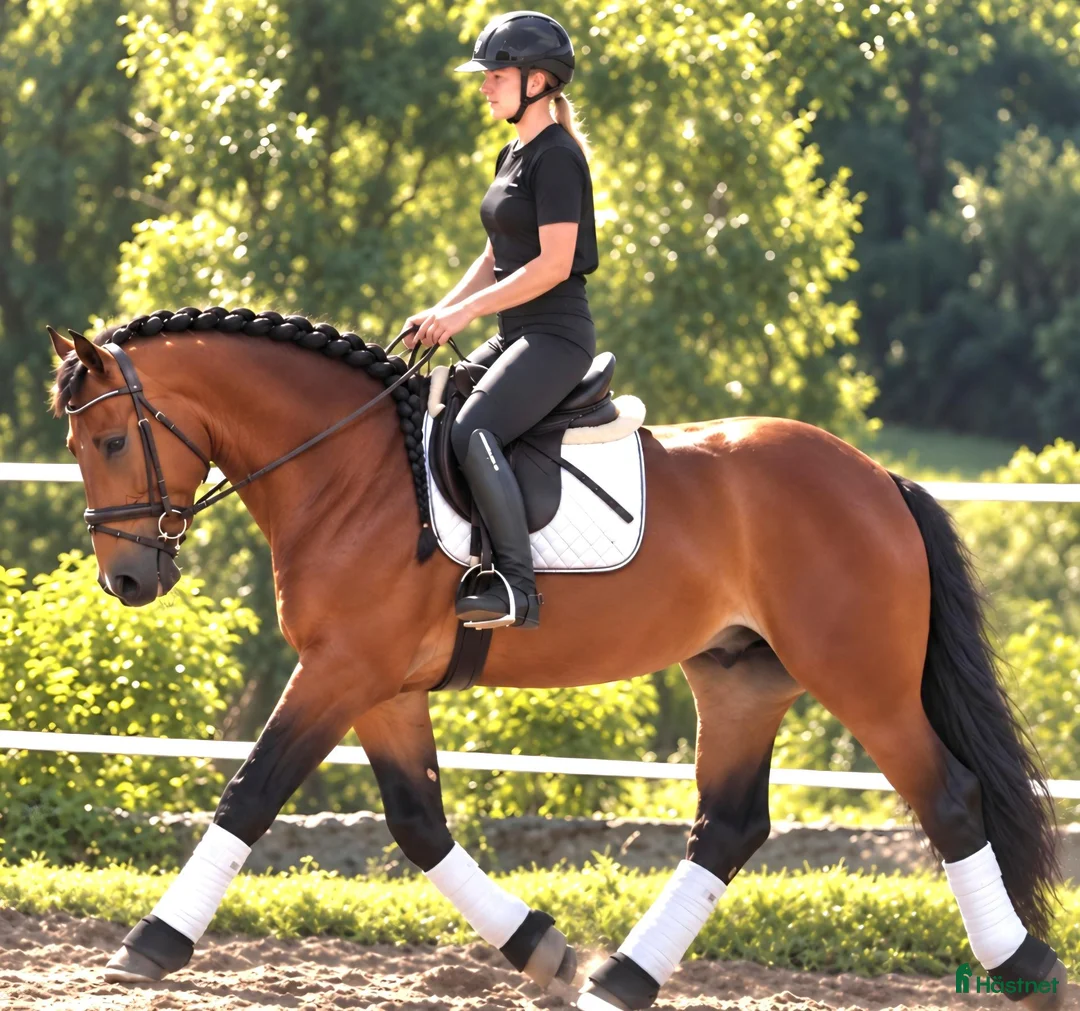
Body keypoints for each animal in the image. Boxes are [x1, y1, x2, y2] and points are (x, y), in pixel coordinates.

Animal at [47, 307, 1066, 1010]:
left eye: (111, 439)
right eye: (77, 444)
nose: (127, 580)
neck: (346, 472)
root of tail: (877, 477)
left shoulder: (340, 673)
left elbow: (252, 793)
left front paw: (149, 941)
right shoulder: (379, 686)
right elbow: (418, 824)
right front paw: (540, 945)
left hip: (863, 679)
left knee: (948, 797)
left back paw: (1025, 965)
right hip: (740, 675)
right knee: (729, 825)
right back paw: (621, 978)